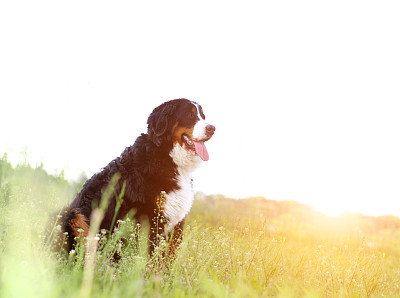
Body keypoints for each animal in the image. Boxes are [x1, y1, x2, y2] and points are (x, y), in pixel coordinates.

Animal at [60, 99, 214, 258]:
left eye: (203, 116)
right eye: (189, 115)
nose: (212, 128)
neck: (166, 155)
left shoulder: (176, 224)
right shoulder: (150, 219)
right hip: (73, 216)